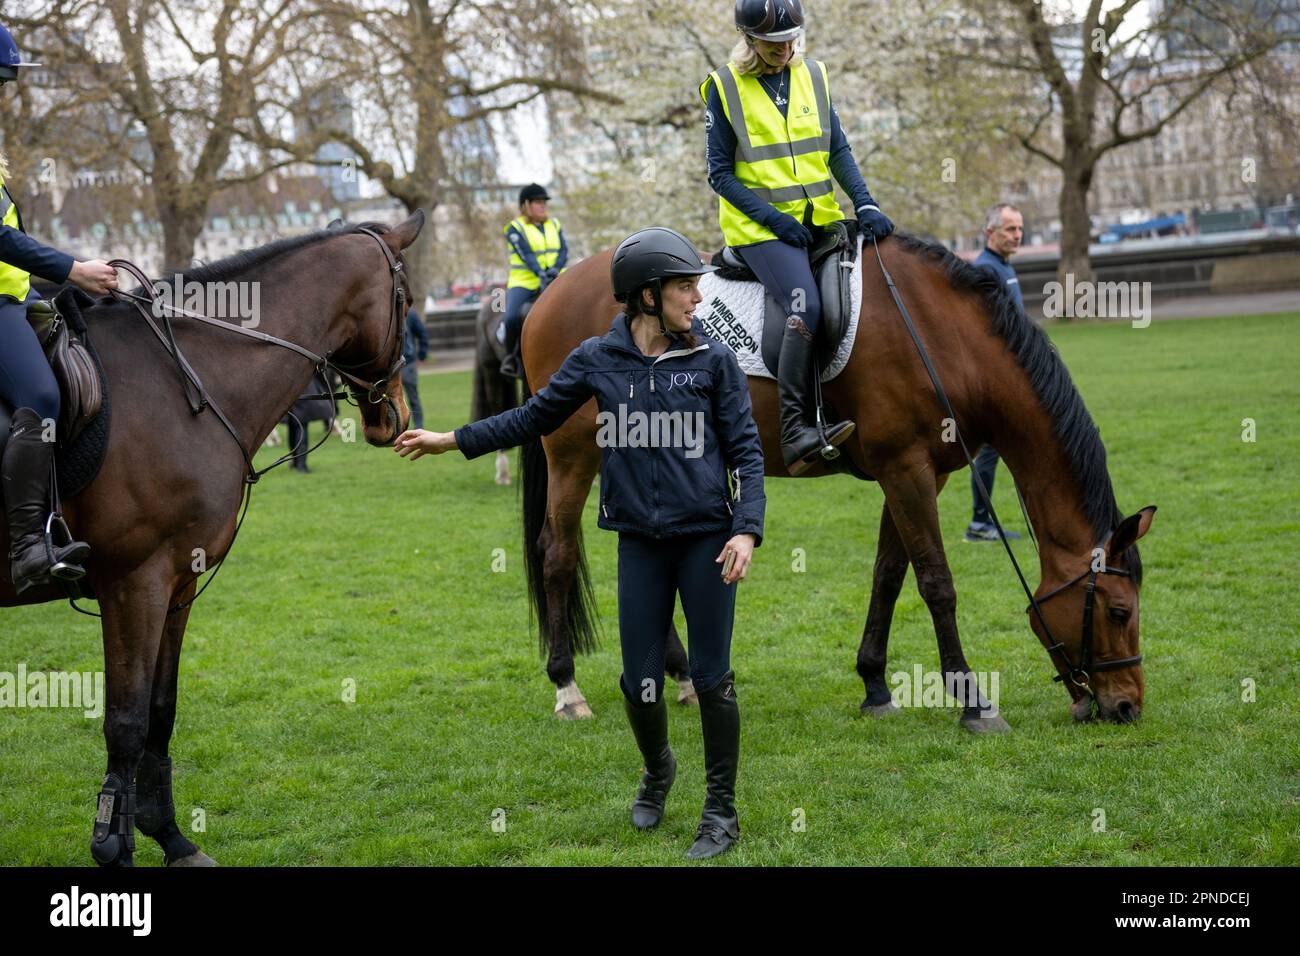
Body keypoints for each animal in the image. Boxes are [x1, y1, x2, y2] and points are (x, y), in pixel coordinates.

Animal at [0, 210, 421, 868]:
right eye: (408, 301)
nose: (392, 416)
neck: (182, 386)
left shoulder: (177, 583)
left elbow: (160, 710)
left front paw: (169, 836)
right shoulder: (135, 584)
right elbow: (125, 721)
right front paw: (113, 847)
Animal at [512, 235, 1154, 728]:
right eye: (1119, 612)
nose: (1127, 706)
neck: (944, 339)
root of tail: (549, 296)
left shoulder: (918, 475)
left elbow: (889, 576)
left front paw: (875, 685)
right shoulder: (905, 469)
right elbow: (936, 584)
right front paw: (971, 700)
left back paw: (680, 676)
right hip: (572, 455)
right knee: (557, 555)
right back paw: (568, 689)